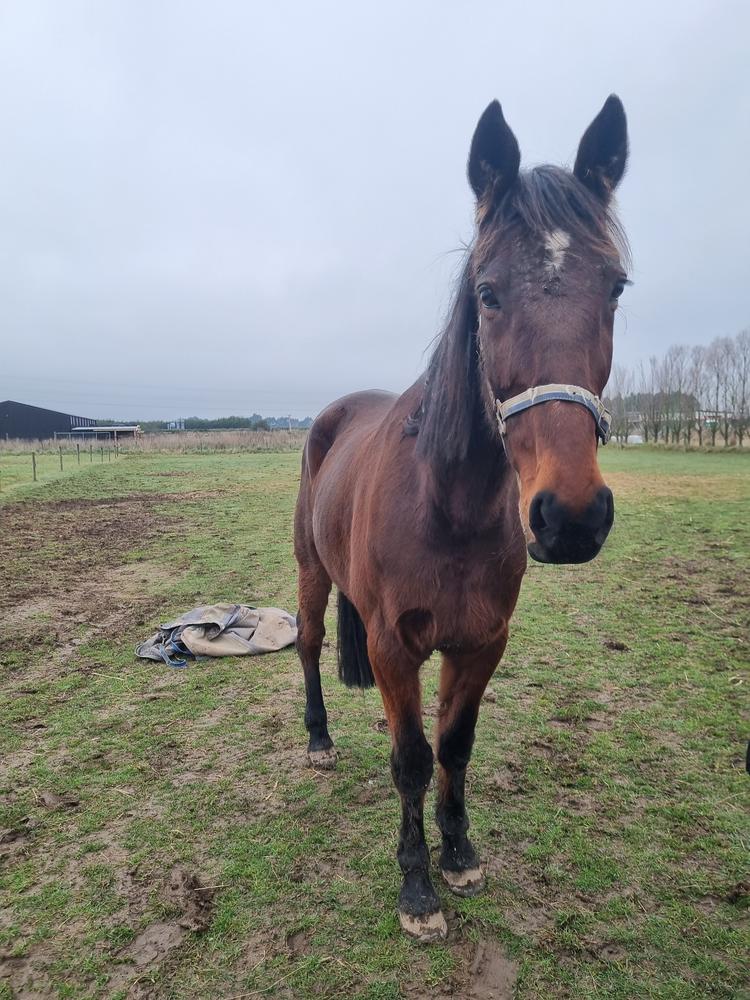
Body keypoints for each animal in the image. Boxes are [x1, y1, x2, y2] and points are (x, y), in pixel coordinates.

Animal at [294, 95, 630, 942]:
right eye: (488, 292)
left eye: (615, 287)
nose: (570, 517)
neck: (447, 508)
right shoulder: (393, 648)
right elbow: (413, 759)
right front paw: (416, 887)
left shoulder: (480, 643)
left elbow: (455, 745)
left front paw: (459, 854)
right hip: (311, 570)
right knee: (309, 643)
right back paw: (318, 739)